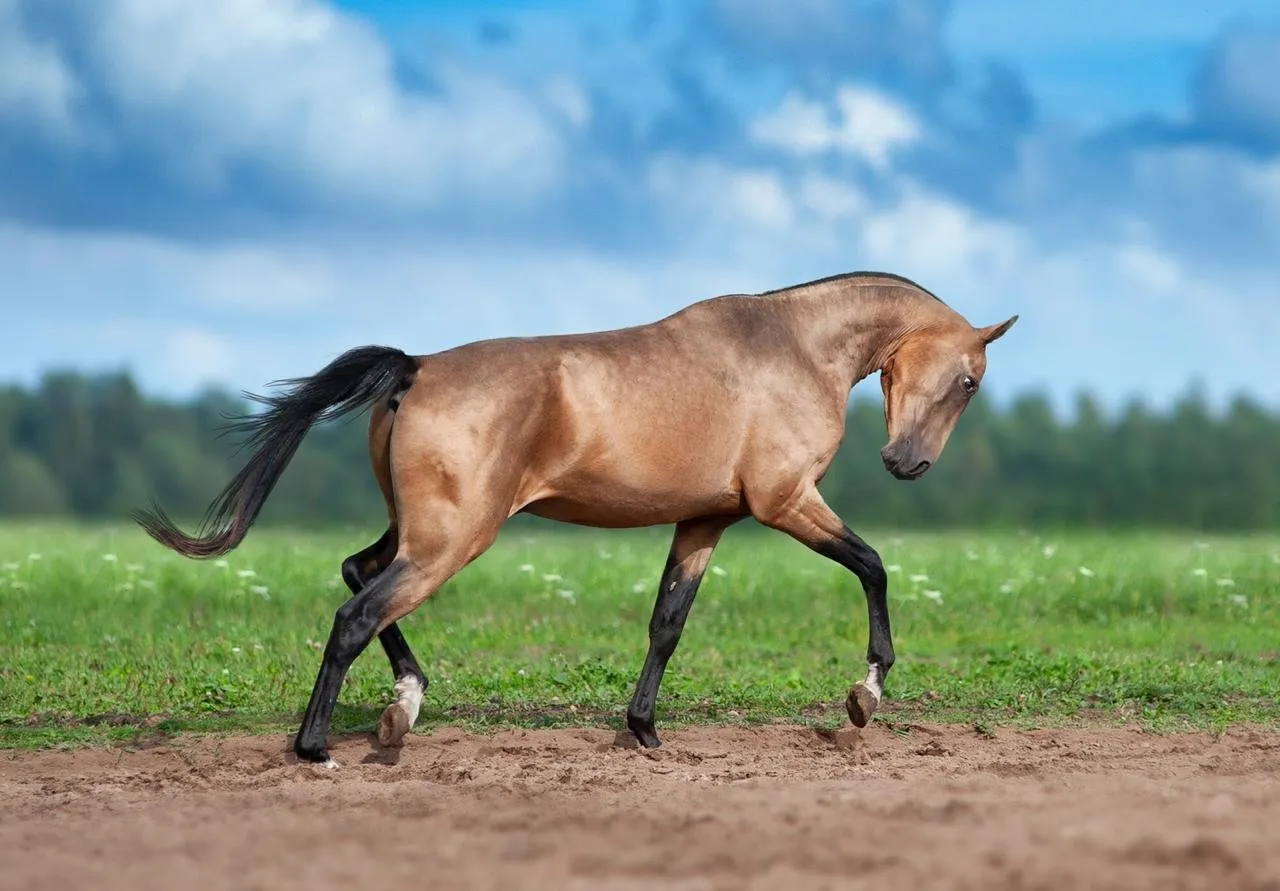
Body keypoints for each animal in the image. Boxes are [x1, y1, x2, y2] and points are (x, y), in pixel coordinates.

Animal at [135, 271, 1018, 768]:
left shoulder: (705, 522)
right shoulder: (785, 501)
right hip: (451, 540)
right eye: (970, 380)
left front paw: (645, 731)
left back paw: (401, 710)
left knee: (357, 574)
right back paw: (318, 747)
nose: (906, 463)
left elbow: (667, 623)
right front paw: (865, 694)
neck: (793, 349)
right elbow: (873, 564)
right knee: (356, 612)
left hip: (422, 531)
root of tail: (414, 369)